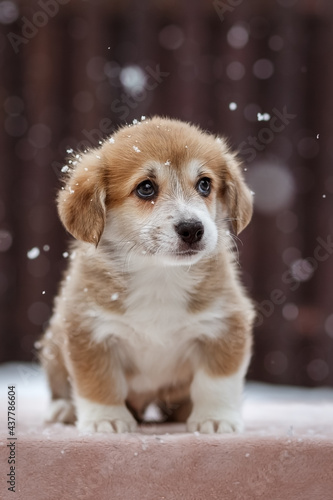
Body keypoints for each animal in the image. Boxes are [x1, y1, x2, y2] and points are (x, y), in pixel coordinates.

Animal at [39, 117, 254, 434]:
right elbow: (99, 383)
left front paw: (216, 418)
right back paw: (64, 409)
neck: (159, 275)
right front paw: (107, 419)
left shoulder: (225, 326)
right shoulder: (88, 331)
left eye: (204, 184)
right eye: (146, 188)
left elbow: (216, 383)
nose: (193, 229)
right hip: (53, 345)